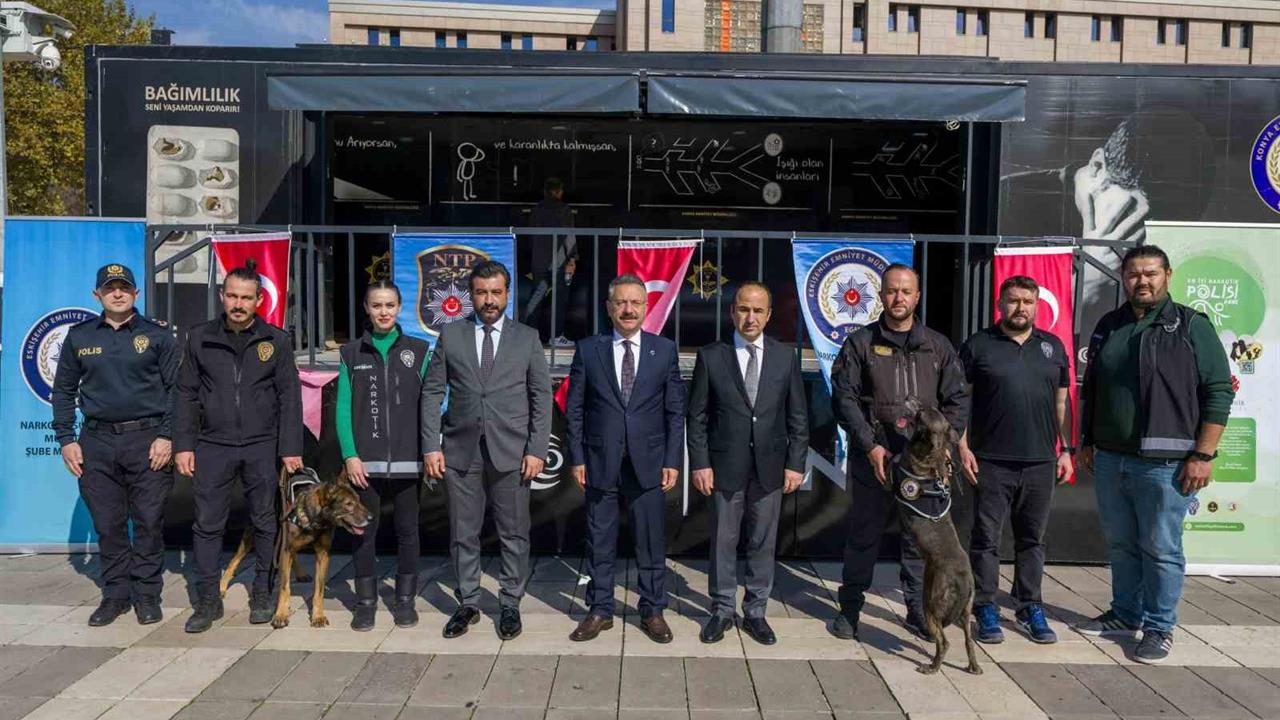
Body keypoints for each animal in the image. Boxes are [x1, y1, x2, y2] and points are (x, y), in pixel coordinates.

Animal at [218, 469, 373, 629]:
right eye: (349, 504)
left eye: (359, 500)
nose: (371, 518)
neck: (313, 519)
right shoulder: (285, 550)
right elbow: (284, 587)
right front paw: (281, 614)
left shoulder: (322, 554)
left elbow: (319, 590)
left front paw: (318, 616)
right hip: (255, 535)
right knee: (234, 560)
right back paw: (221, 587)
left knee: (294, 556)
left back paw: (300, 574)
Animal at [891, 406, 982, 676]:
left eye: (921, 414)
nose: (914, 401)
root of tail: (963, 580)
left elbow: (894, 462)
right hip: (966, 612)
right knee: (968, 641)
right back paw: (974, 667)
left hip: (930, 604)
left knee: (944, 641)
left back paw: (931, 667)